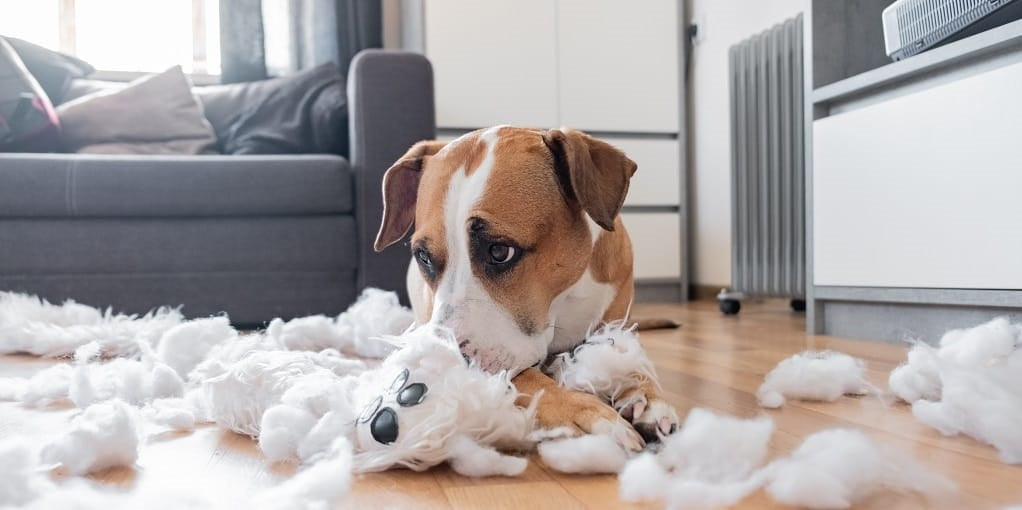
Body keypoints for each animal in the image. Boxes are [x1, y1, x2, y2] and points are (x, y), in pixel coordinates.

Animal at [374, 125, 678, 449]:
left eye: (500, 251)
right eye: (424, 257)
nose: (444, 363)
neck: (562, 302)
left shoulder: (616, 323)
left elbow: (627, 355)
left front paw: (646, 394)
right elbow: (529, 379)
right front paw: (585, 413)